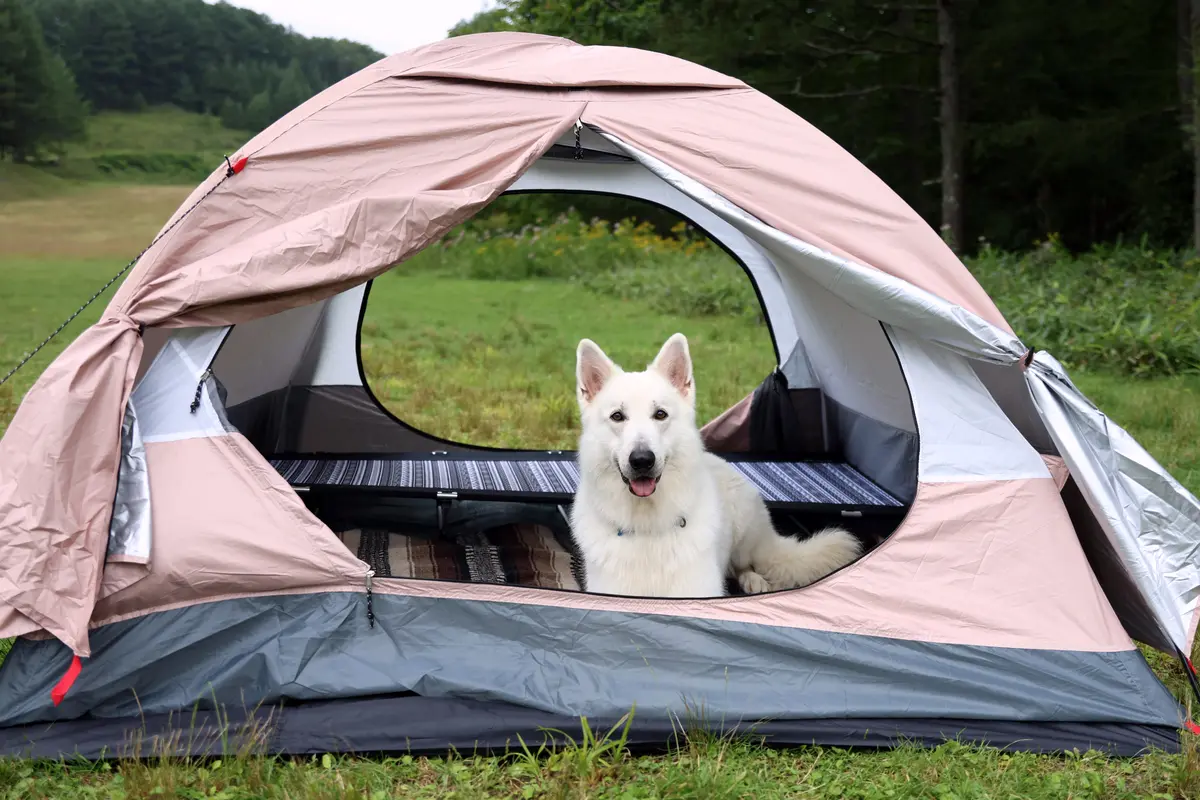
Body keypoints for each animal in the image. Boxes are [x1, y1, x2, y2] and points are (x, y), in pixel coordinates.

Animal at [566, 333, 859, 599]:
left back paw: (754, 580)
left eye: (660, 414)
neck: (648, 527)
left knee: (743, 564)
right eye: (617, 416)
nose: (641, 460)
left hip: (743, 535)